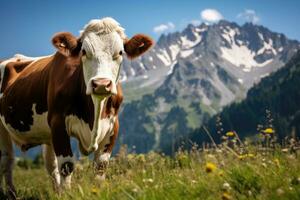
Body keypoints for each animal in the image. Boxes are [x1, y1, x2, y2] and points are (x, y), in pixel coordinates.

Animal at [0, 17, 152, 198]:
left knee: (50, 164)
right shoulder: (58, 122)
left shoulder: (113, 125)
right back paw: (11, 194)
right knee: (7, 161)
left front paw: (95, 193)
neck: (93, 113)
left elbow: (100, 166)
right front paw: (66, 195)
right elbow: (66, 165)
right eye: (84, 51)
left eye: (120, 52)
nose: (101, 84)